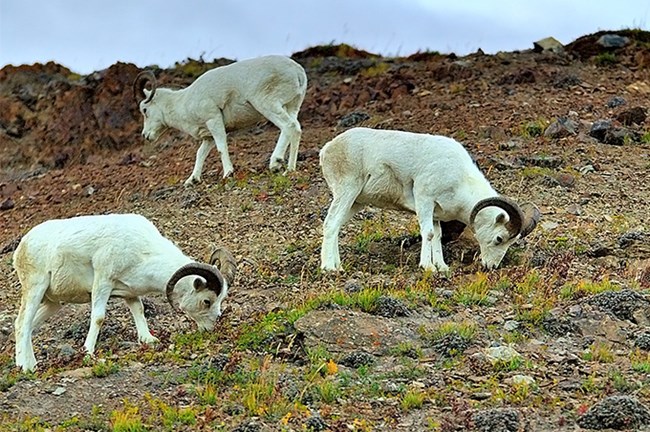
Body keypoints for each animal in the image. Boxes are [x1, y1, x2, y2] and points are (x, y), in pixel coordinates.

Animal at [13, 213, 235, 372]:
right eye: (207, 301)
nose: (211, 327)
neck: (144, 252)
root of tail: (22, 246)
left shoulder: (129, 293)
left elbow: (139, 310)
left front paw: (149, 340)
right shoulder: (103, 282)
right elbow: (98, 318)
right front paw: (88, 352)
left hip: (53, 303)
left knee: (28, 327)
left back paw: (30, 364)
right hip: (35, 290)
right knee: (22, 324)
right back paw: (25, 367)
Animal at [133, 54, 308, 183]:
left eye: (144, 110)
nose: (145, 135)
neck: (183, 103)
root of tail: (298, 72)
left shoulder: (214, 121)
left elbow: (221, 147)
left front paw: (228, 173)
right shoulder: (208, 136)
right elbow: (200, 154)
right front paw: (192, 180)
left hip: (267, 104)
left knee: (289, 126)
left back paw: (275, 163)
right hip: (291, 106)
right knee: (296, 129)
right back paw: (290, 169)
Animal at [316, 126, 540, 272]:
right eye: (499, 239)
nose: (491, 266)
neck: (460, 180)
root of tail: (327, 149)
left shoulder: (436, 213)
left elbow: (438, 236)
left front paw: (441, 267)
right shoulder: (424, 200)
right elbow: (429, 234)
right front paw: (428, 267)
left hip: (356, 203)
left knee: (335, 227)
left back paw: (337, 265)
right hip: (347, 192)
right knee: (331, 223)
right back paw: (330, 268)